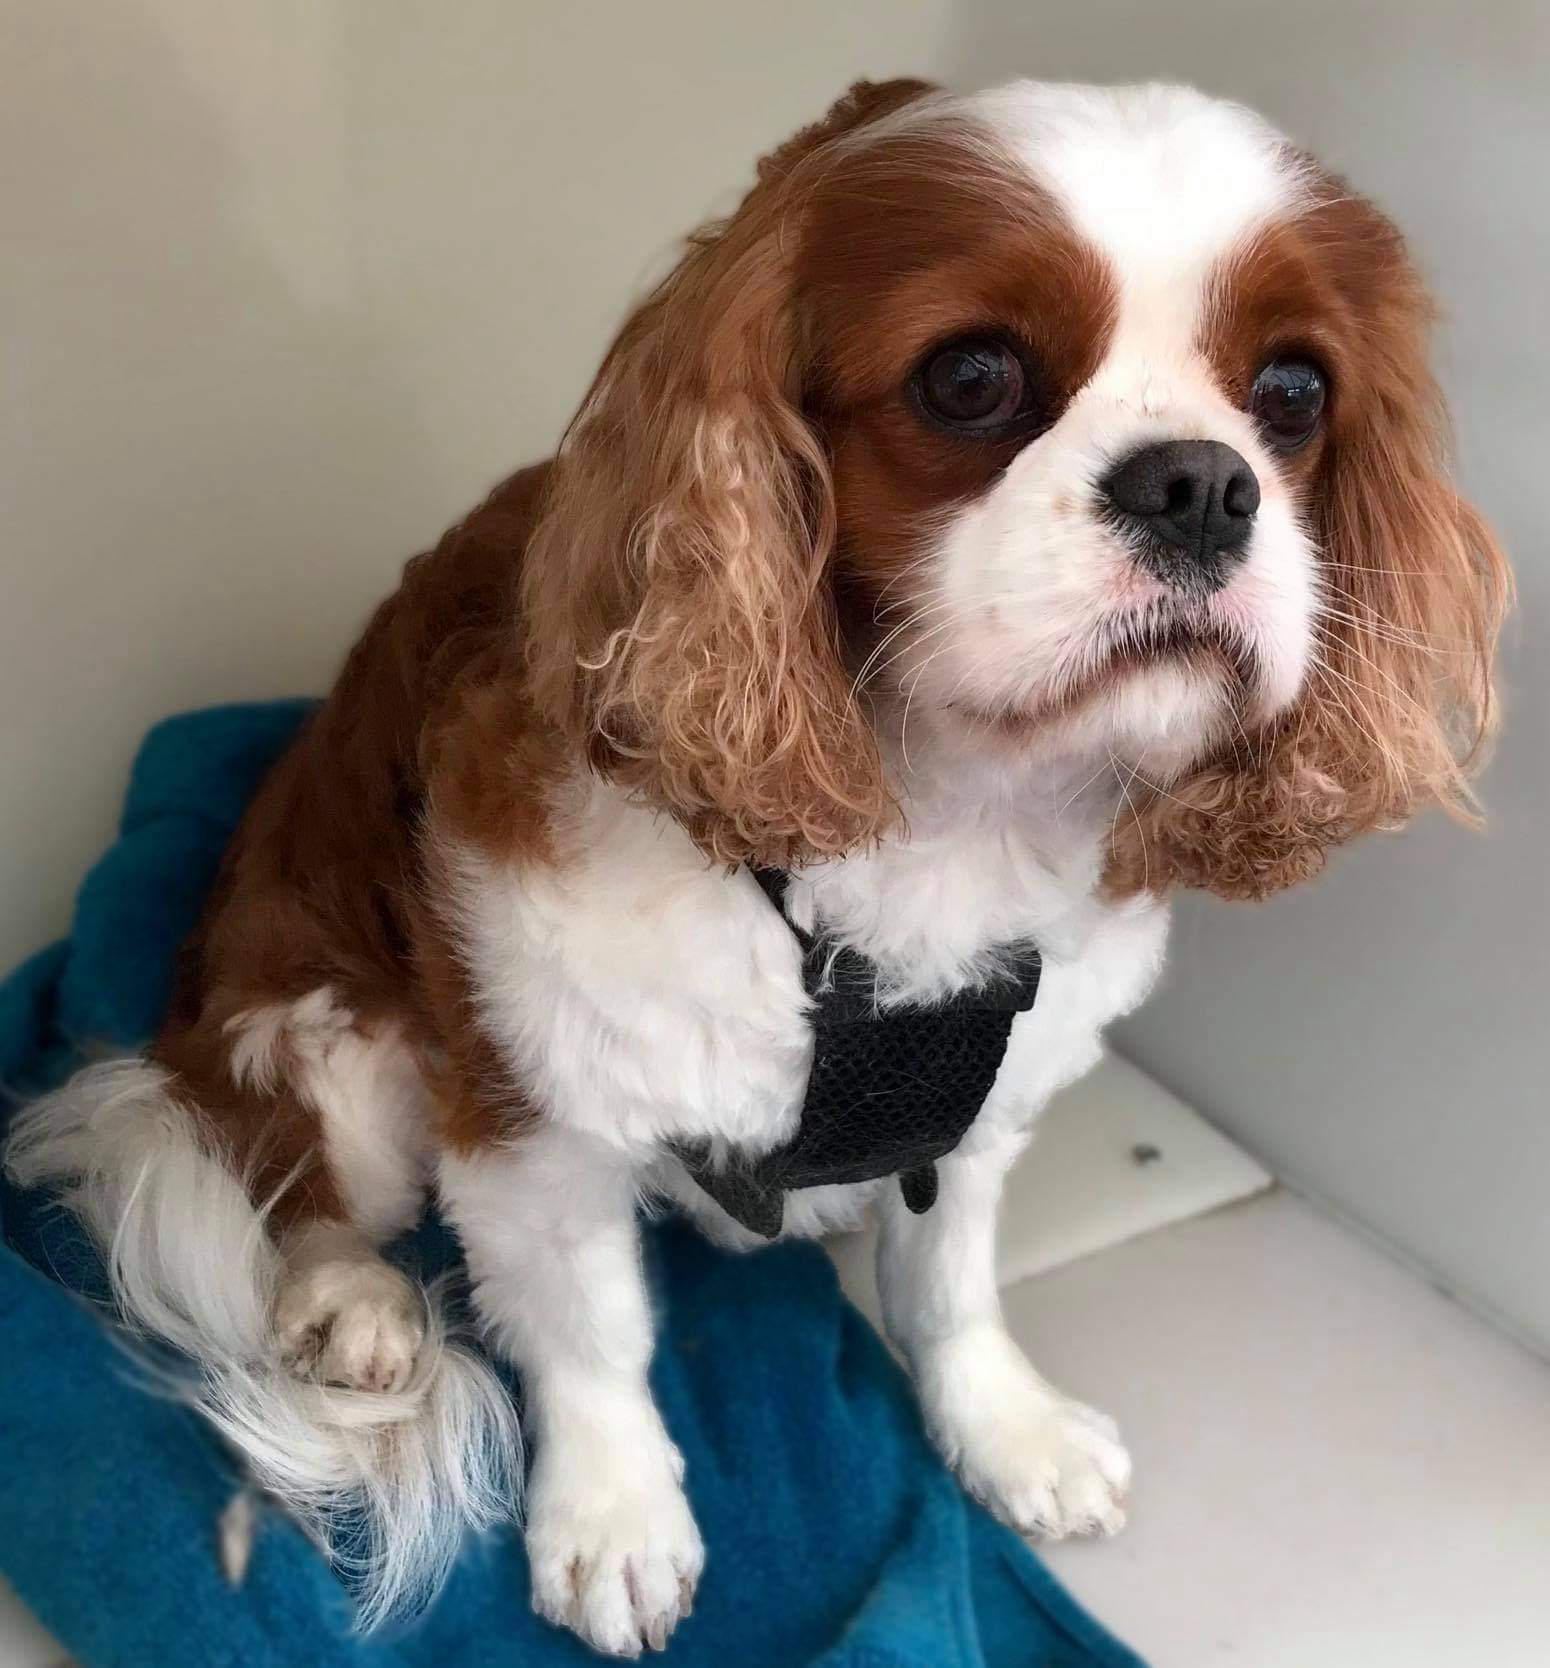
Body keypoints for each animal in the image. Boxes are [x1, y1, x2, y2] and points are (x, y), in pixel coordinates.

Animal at [7, 77, 1509, 1657]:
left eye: (1291, 394)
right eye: (969, 377)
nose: (1201, 484)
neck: (944, 817)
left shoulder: (986, 1095)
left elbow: (949, 1277)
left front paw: (1002, 1425)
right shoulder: (530, 1101)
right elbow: (592, 1334)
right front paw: (615, 1518)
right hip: (320, 1033)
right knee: (277, 1170)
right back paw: (352, 1303)